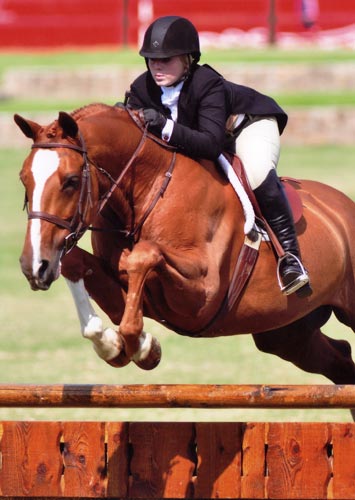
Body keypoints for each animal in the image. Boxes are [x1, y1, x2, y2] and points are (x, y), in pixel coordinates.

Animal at [15, 102, 355, 382]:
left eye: (71, 181)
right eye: (24, 179)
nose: (34, 267)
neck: (149, 188)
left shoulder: (203, 295)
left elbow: (142, 256)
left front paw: (142, 346)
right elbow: (80, 266)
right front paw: (117, 344)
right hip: (287, 333)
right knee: (341, 361)